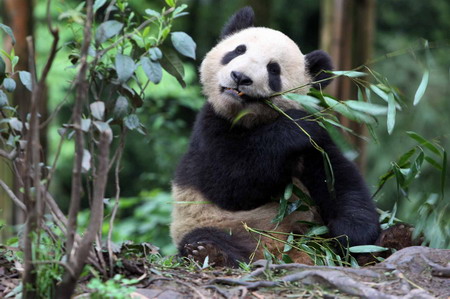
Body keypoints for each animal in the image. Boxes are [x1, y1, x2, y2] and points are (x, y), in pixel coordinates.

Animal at [171, 7, 382, 268]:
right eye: (237, 51)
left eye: (274, 69)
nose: (240, 77)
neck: (249, 121)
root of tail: (281, 251)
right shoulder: (209, 128)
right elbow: (227, 182)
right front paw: (297, 126)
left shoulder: (316, 149)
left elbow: (339, 180)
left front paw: (354, 236)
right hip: (215, 223)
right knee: (209, 238)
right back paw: (210, 252)